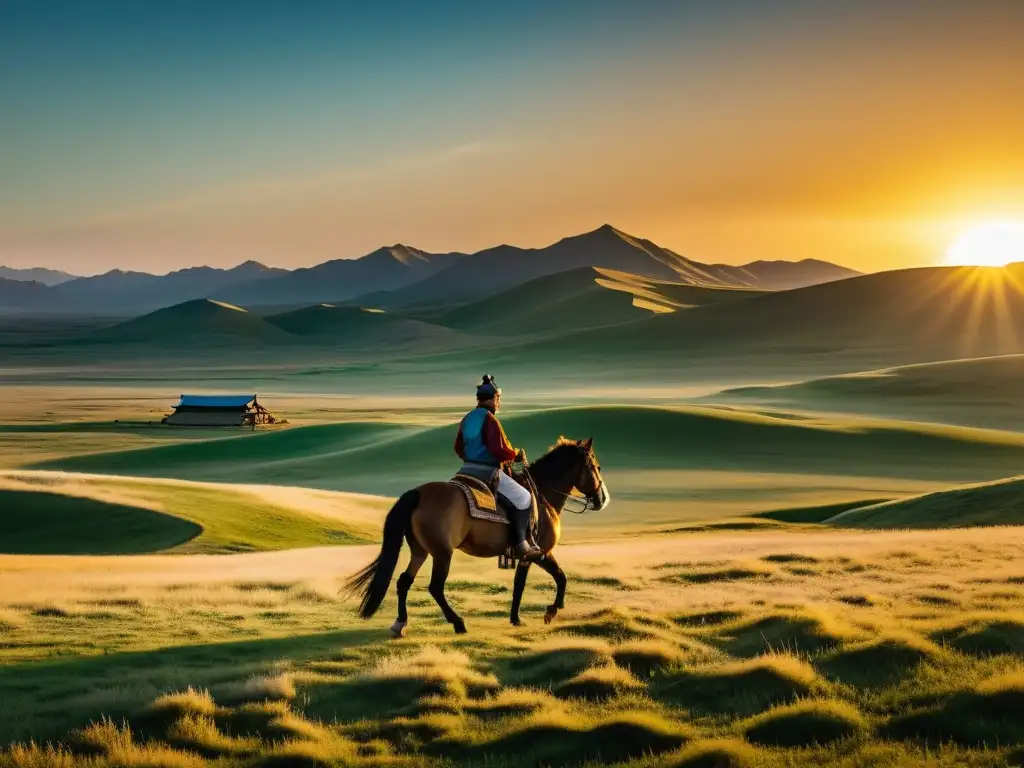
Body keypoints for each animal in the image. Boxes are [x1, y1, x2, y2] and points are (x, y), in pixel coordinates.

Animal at [348, 438, 610, 638]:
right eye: (596, 467)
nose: (601, 500)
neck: (543, 494)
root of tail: (418, 493)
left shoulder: (530, 555)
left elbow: (526, 584)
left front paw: (517, 618)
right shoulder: (537, 552)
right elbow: (556, 578)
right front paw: (549, 611)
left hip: (420, 550)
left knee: (404, 581)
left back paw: (400, 624)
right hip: (442, 553)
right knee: (435, 587)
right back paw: (458, 623)